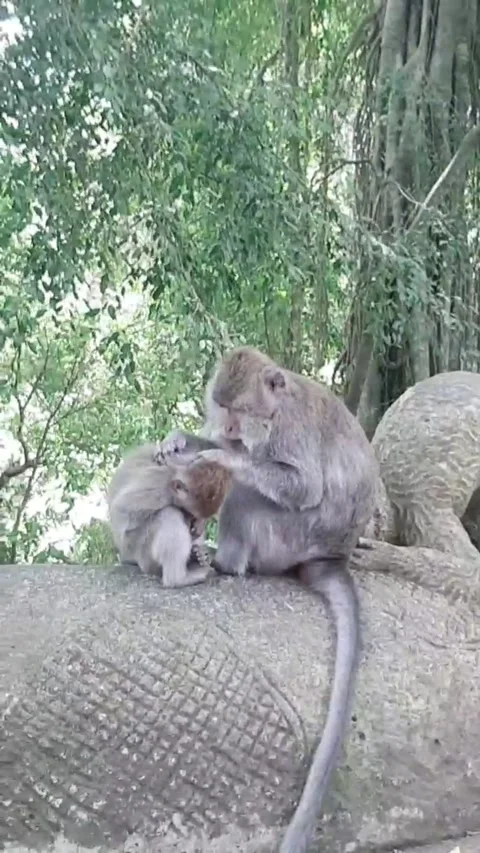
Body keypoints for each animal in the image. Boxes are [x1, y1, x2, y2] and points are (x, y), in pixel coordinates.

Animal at [107, 442, 232, 588]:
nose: (192, 520)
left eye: (192, 514)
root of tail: (126, 556)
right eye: (188, 511)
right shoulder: (160, 485)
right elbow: (122, 507)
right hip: (141, 552)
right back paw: (177, 579)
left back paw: (198, 556)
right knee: (169, 514)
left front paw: (200, 524)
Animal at [157, 347, 377, 853]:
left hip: (288, 539)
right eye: (222, 408)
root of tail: (329, 557)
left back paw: (227, 563)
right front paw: (183, 441)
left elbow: (302, 485)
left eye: (240, 411)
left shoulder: (291, 430)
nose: (229, 429)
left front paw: (221, 455)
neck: (275, 409)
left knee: (248, 495)